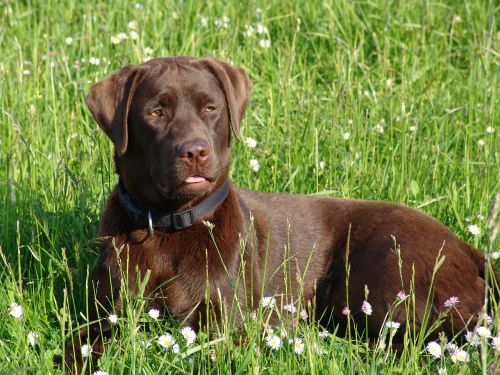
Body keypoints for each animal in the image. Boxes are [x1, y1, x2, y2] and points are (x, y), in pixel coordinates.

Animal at [68, 56, 486, 368]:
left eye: (210, 107)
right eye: (155, 112)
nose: (195, 150)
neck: (172, 226)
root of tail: (466, 246)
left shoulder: (231, 327)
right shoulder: (104, 315)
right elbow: (79, 346)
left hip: (382, 276)